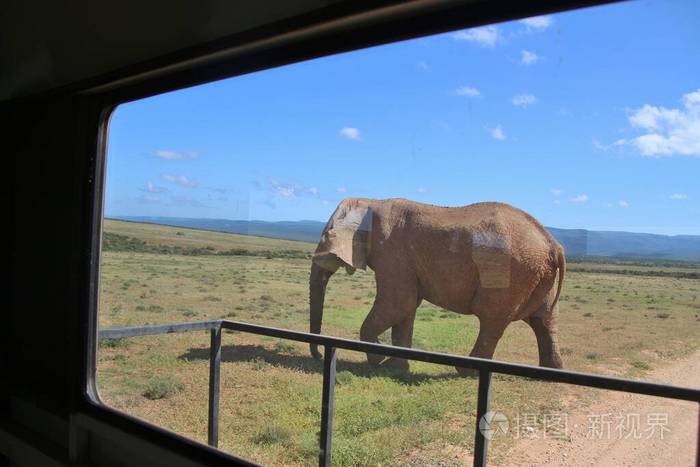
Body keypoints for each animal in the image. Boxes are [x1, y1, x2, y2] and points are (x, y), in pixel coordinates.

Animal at [306, 198, 564, 376]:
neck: (370, 201)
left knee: (492, 320)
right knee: (544, 320)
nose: (317, 356)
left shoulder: (392, 252)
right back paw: (550, 372)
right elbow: (406, 308)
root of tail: (553, 244)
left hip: (510, 274)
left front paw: (376, 359)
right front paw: (395, 367)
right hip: (538, 277)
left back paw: (466, 371)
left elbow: (399, 303)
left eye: (327, 234)